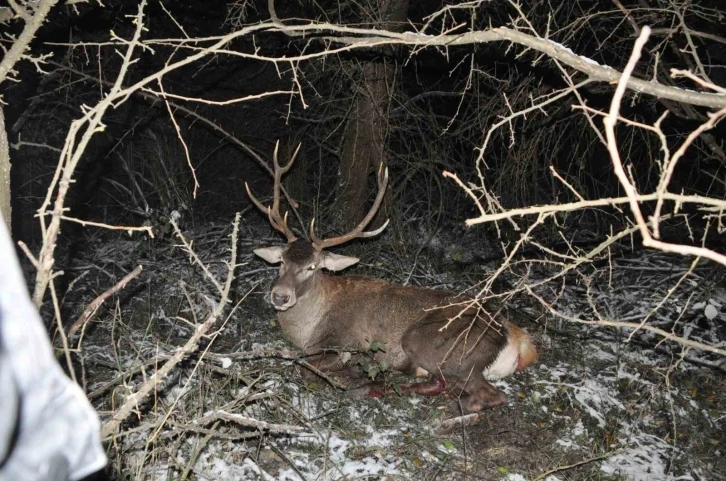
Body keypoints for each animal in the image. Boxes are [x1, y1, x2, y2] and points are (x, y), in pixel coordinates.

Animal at [247, 142, 536, 412]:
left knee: (488, 394)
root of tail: (516, 339)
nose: (280, 296)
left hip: (431, 343)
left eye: (313, 266)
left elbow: (305, 367)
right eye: (282, 261)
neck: (306, 332)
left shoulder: (344, 343)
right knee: (442, 383)